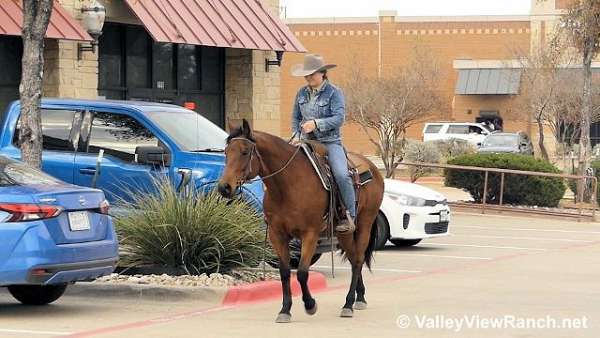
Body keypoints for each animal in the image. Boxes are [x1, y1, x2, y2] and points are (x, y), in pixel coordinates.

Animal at [218, 119, 382, 322]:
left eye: (244, 151)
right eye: (226, 152)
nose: (224, 187)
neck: (287, 186)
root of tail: (373, 168)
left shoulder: (310, 234)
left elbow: (303, 273)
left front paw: (310, 305)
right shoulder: (277, 235)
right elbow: (285, 272)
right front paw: (285, 309)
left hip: (364, 224)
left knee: (358, 260)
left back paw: (349, 304)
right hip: (343, 233)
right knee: (353, 260)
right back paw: (360, 297)